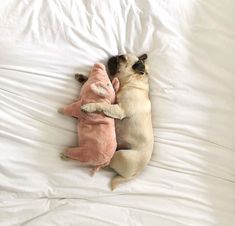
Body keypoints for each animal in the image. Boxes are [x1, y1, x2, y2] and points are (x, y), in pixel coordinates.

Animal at [81, 53, 154, 190]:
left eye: (121, 59)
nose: (113, 56)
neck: (134, 83)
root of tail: (136, 173)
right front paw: (84, 78)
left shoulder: (119, 110)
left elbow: (102, 105)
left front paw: (89, 106)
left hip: (121, 155)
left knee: (107, 163)